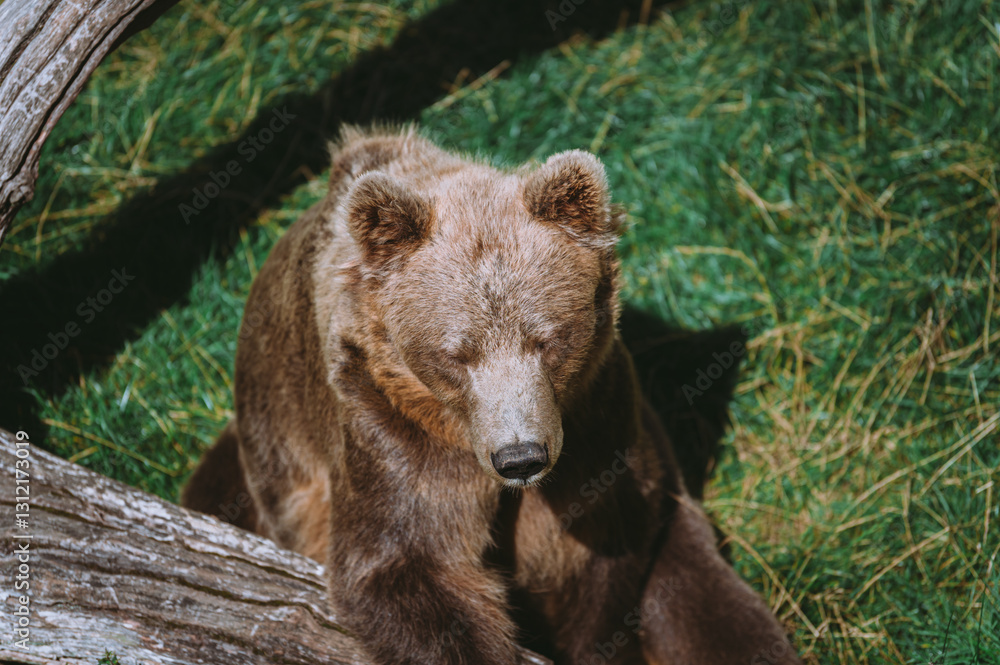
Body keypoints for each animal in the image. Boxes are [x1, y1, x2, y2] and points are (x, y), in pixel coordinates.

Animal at [181, 126, 801, 665]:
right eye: (457, 353)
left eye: (546, 339)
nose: (520, 457)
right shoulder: (388, 426)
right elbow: (405, 563)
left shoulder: (599, 414)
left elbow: (598, 543)